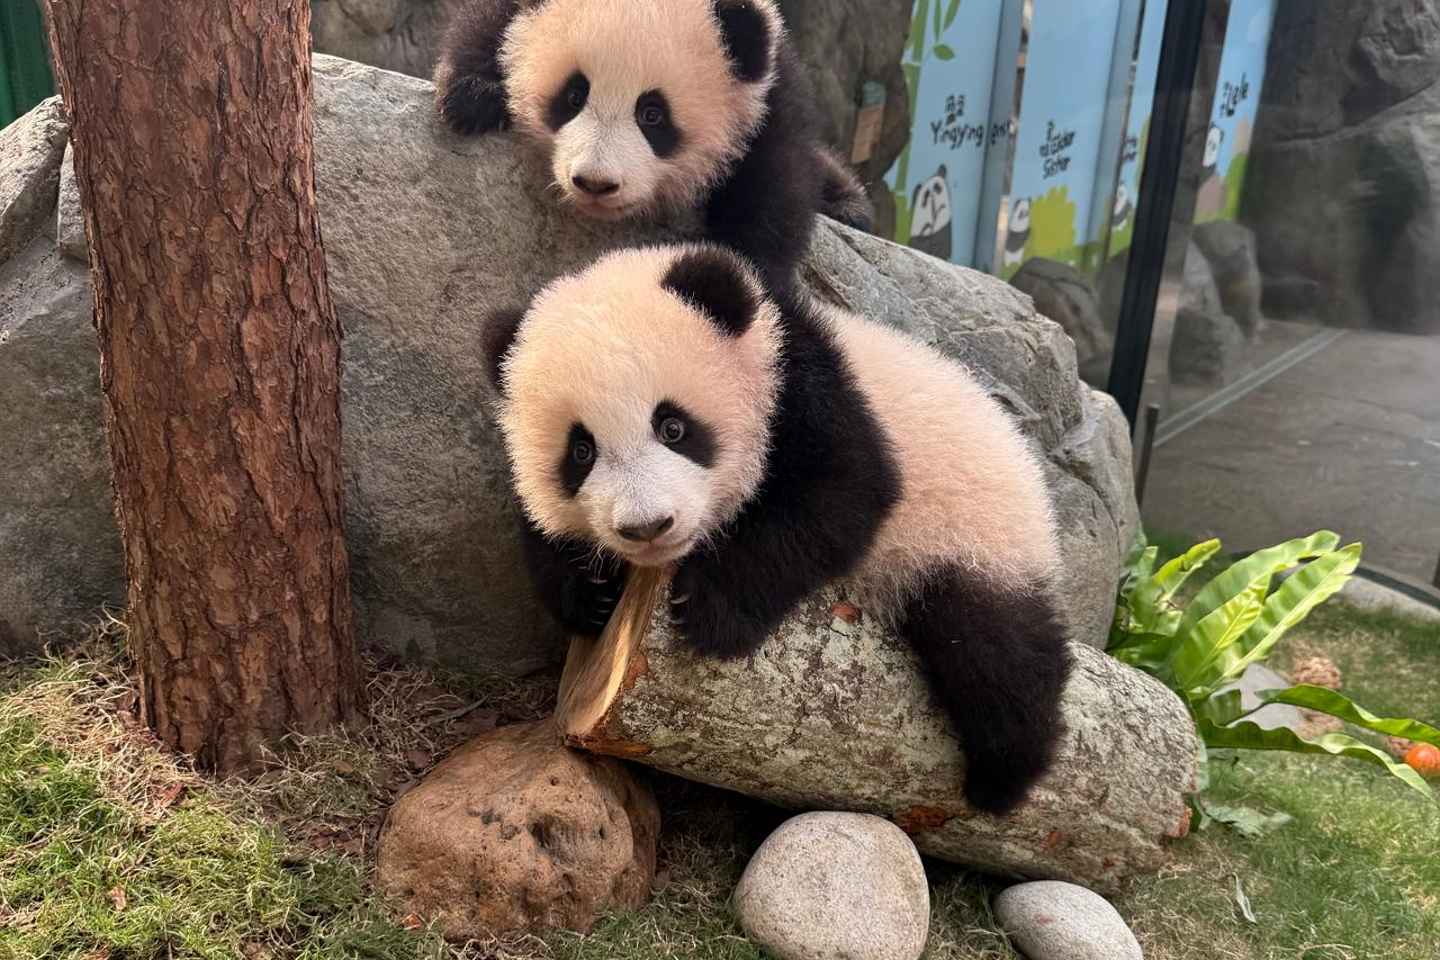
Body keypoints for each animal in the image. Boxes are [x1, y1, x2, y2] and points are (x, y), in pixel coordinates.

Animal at [434, 0, 872, 295]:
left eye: (652, 115)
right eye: (574, 95)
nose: (595, 183)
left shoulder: (768, 101)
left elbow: (776, 190)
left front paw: (742, 274)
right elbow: (490, 25)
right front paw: (473, 96)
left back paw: (849, 205)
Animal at [483, 243, 1073, 815]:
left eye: (673, 427)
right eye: (580, 452)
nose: (648, 526)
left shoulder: (804, 387)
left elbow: (841, 494)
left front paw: (711, 611)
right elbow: (539, 528)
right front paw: (589, 595)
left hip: (973, 531)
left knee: (993, 649)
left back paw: (1005, 775)